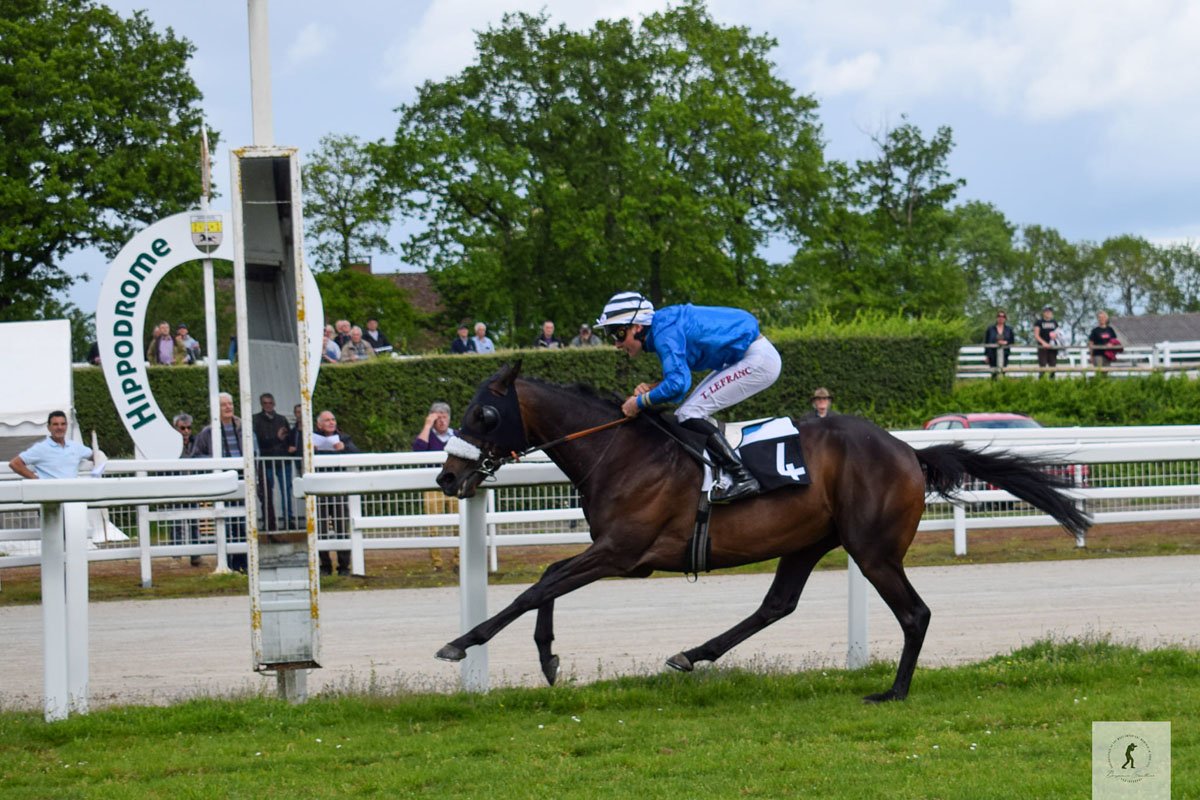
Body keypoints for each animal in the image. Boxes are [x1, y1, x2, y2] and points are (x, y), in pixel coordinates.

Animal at [434, 362, 1091, 702]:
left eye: (483, 415)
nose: (446, 477)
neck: (621, 451)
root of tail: (909, 450)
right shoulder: (617, 553)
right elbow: (546, 579)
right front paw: (547, 658)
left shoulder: (622, 551)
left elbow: (536, 587)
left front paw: (461, 643)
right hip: (808, 540)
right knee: (777, 604)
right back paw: (692, 653)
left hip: (873, 549)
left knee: (915, 613)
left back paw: (893, 691)